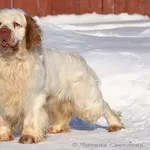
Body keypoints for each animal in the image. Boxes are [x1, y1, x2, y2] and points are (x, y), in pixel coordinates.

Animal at [0, 8, 124, 144]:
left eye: (16, 24)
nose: (3, 30)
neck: (9, 62)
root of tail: (79, 58)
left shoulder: (33, 95)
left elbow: (31, 119)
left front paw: (29, 136)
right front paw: (3, 135)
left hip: (86, 103)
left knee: (104, 106)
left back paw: (115, 124)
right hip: (57, 100)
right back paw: (57, 128)